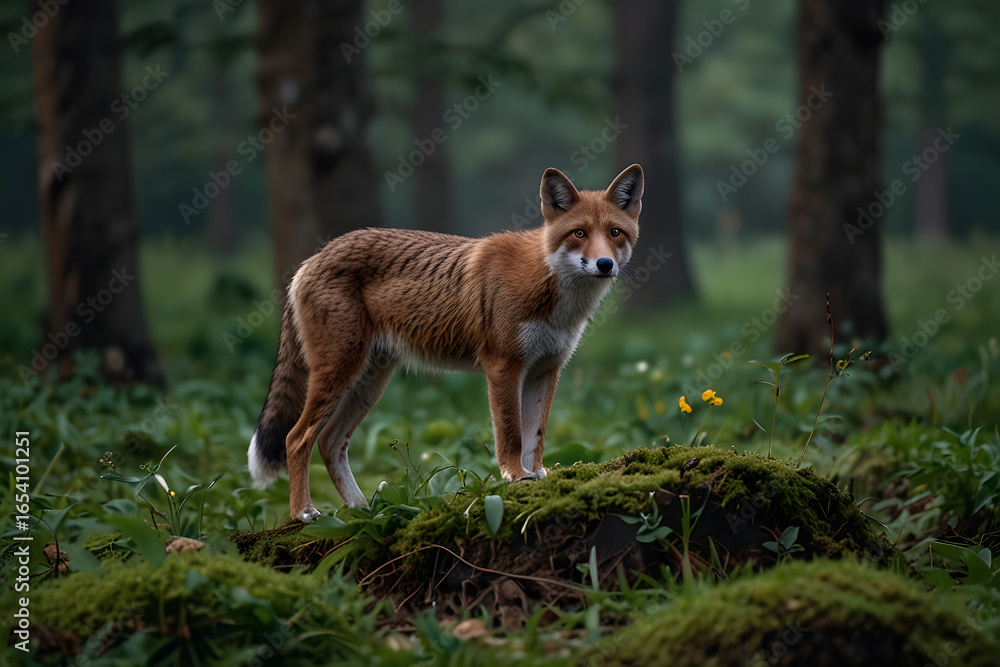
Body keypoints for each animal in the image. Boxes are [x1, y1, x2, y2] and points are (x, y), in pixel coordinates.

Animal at [248, 164, 644, 522]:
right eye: (579, 233)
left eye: (615, 233)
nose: (604, 264)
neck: (549, 288)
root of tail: (311, 259)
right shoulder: (503, 366)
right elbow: (511, 434)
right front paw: (515, 477)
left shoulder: (545, 370)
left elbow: (536, 436)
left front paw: (536, 477)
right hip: (339, 372)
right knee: (296, 439)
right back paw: (304, 513)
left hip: (369, 383)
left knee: (329, 443)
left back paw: (364, 512)